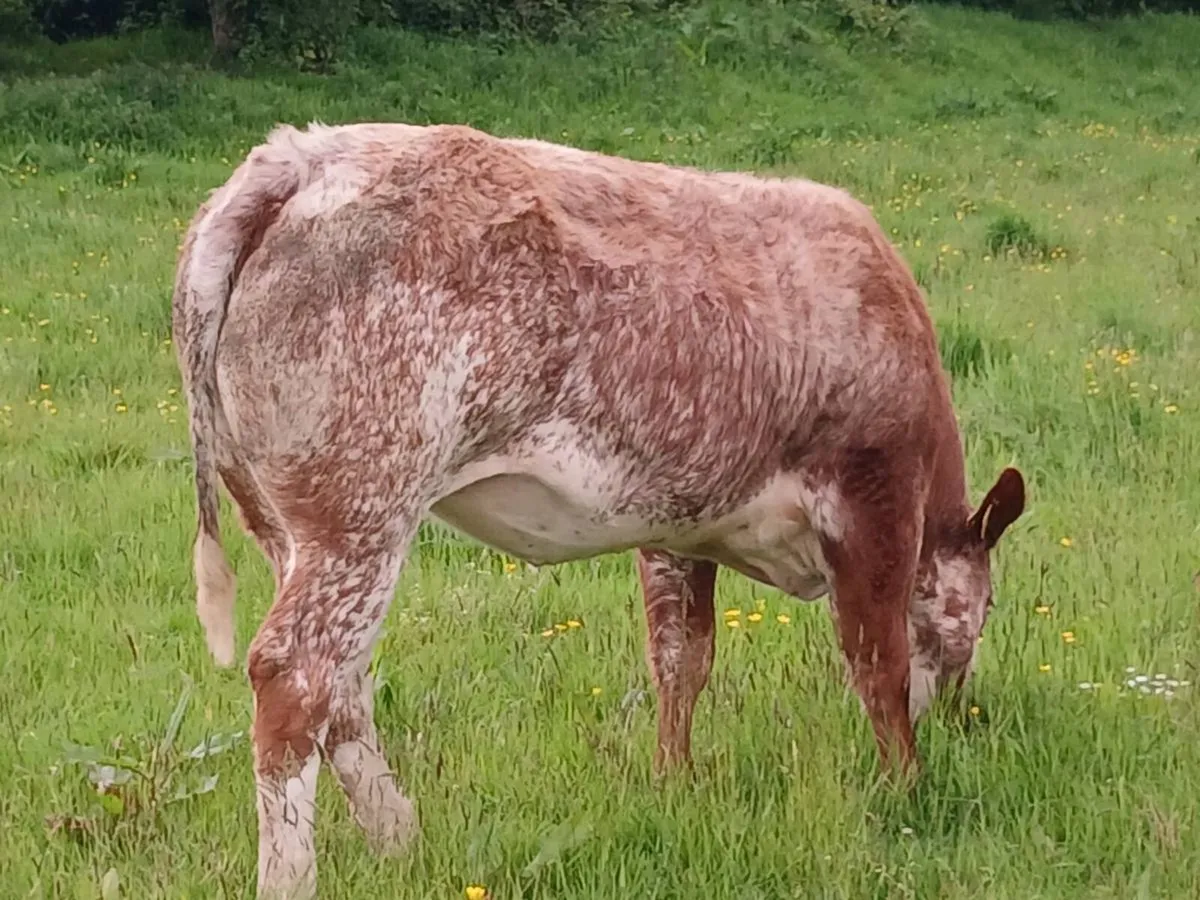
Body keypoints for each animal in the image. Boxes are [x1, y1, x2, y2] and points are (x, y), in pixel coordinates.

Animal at [172, 121, 1025, 898]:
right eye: (983, 613)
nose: (961, 712)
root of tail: (300, 155)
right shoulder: (873, 498)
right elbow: (878, 659)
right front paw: (906, 785)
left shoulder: (680, 523)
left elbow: (681, 658)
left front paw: (674, 781)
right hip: (361, 512)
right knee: (297, 675)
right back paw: (297, 876)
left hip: (287, 522)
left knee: (343, 684)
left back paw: (399, 836)